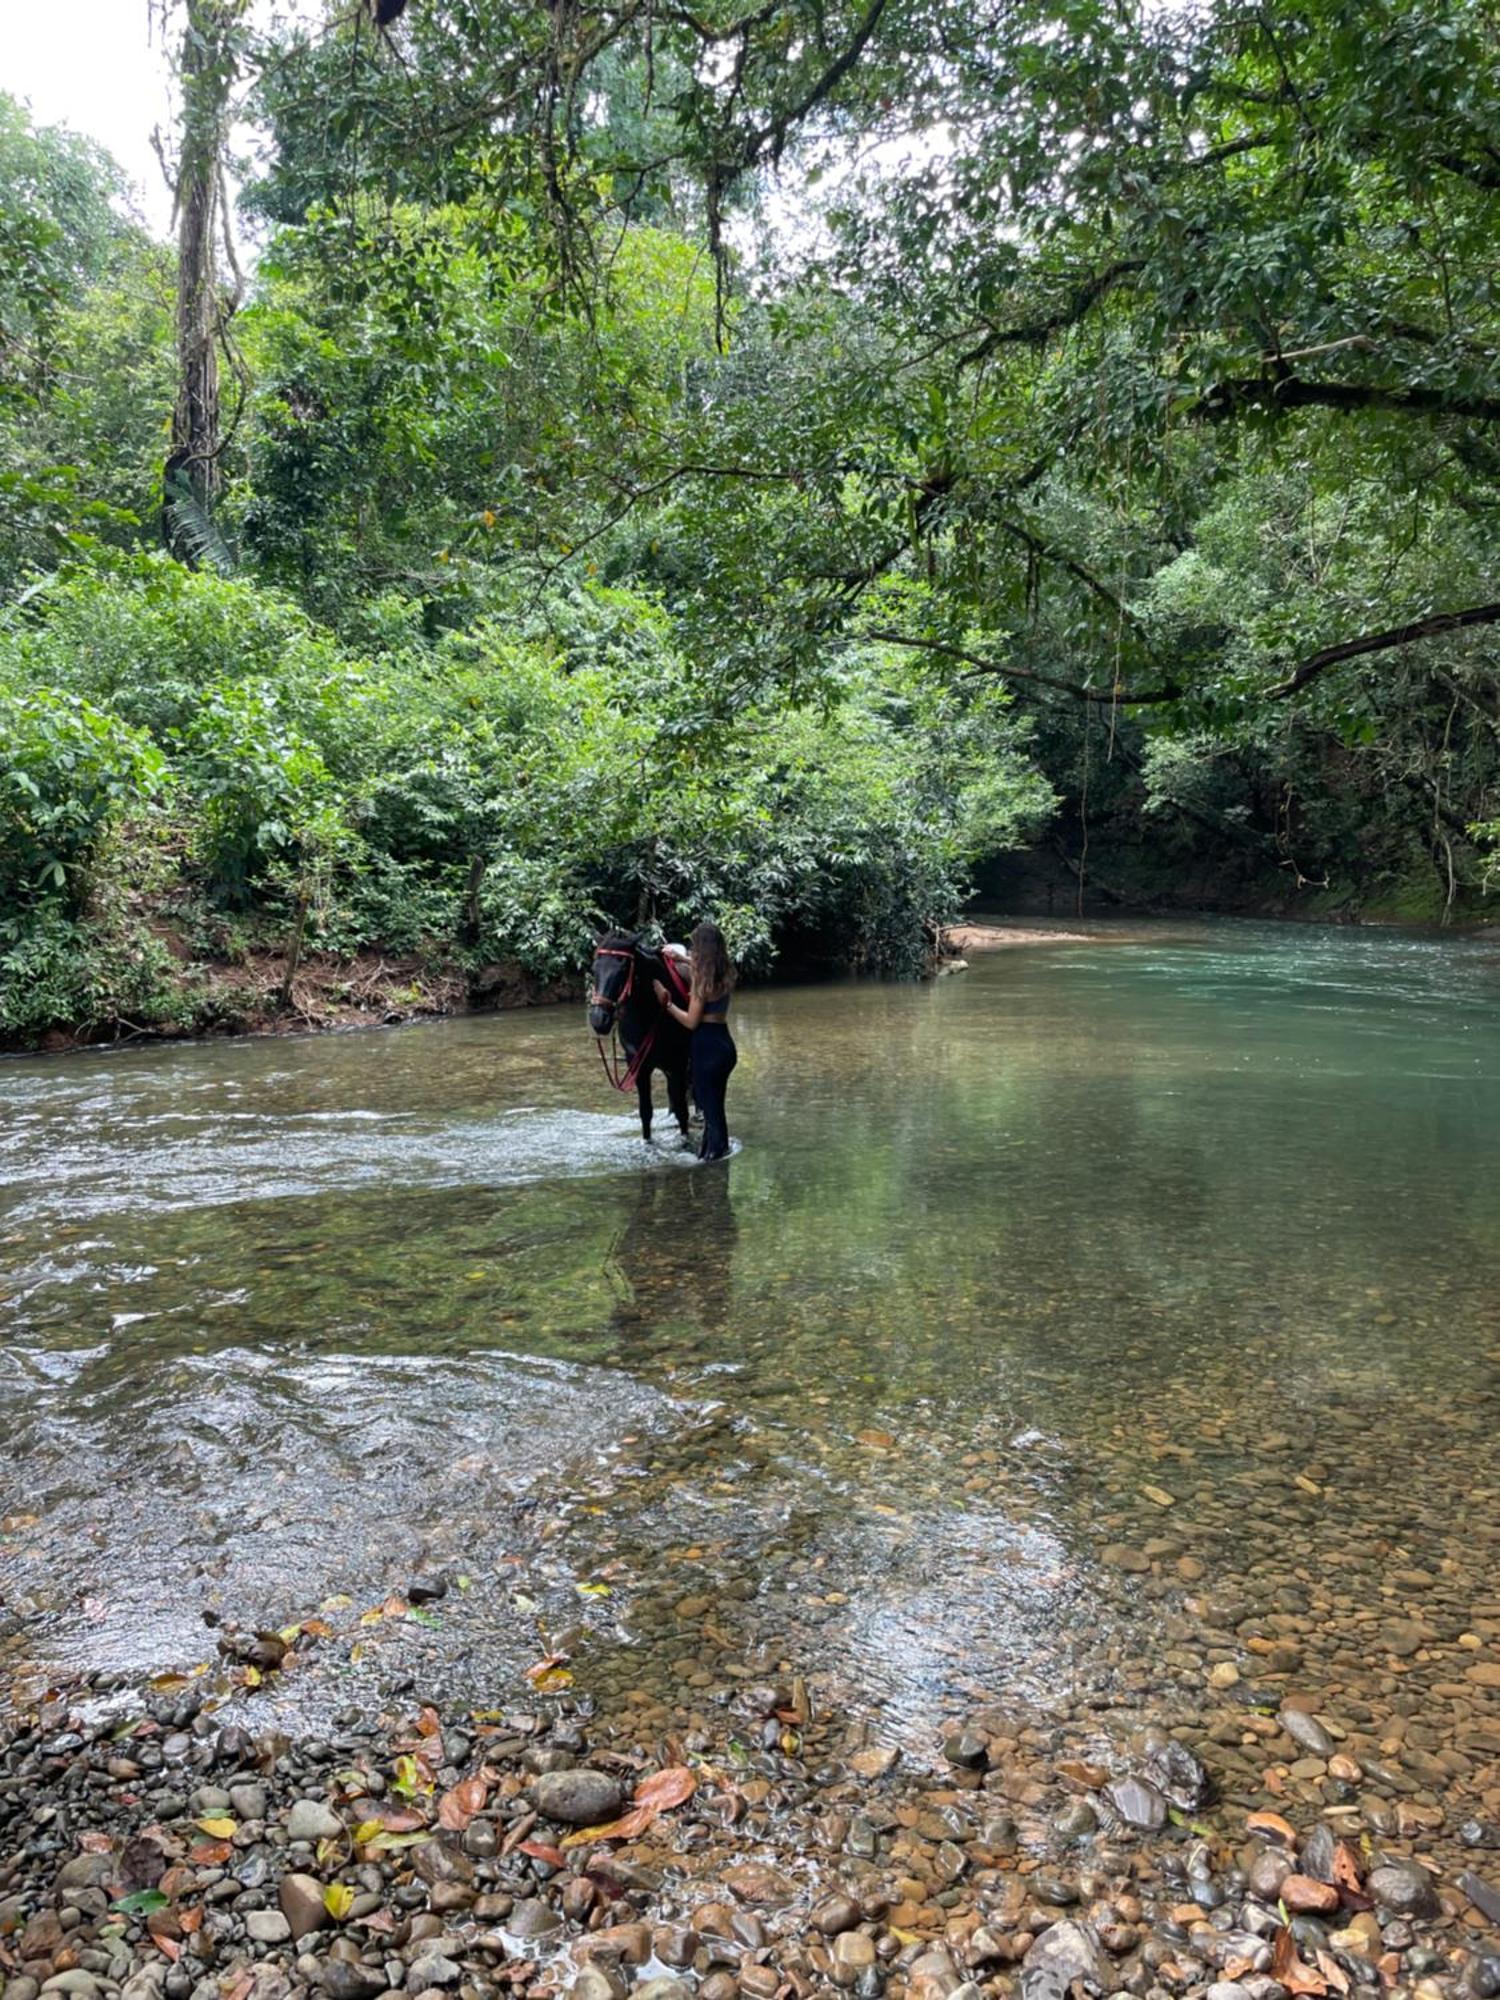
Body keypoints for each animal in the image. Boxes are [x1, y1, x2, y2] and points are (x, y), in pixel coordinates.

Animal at [592, 924, 700, 1136]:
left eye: (623, 969)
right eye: (593, 969)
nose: (599, 1019)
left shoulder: (677, 1064)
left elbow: (683, 1113)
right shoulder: (639, 1066)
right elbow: (646, 1113)